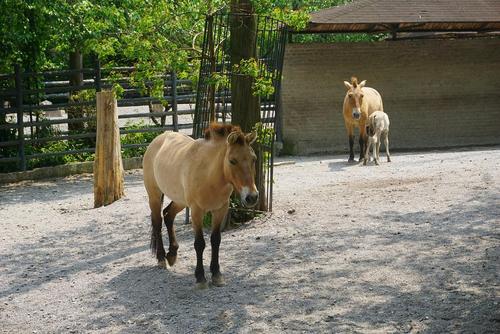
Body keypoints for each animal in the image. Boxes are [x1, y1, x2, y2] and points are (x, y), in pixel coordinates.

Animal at [142, 122, 256, 290]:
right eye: (232, 161)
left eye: (253, 159)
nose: (252, 197)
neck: (210, 175)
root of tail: (157, 140)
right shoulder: (196, 211)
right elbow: (199, 243)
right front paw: (200, 278)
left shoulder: (220, 210)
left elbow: (216, 240)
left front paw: (216, 275)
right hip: (155, 196)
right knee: (157, 222)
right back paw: (161, 258)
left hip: (181, 201)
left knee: (168, 215)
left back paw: (172, 255)